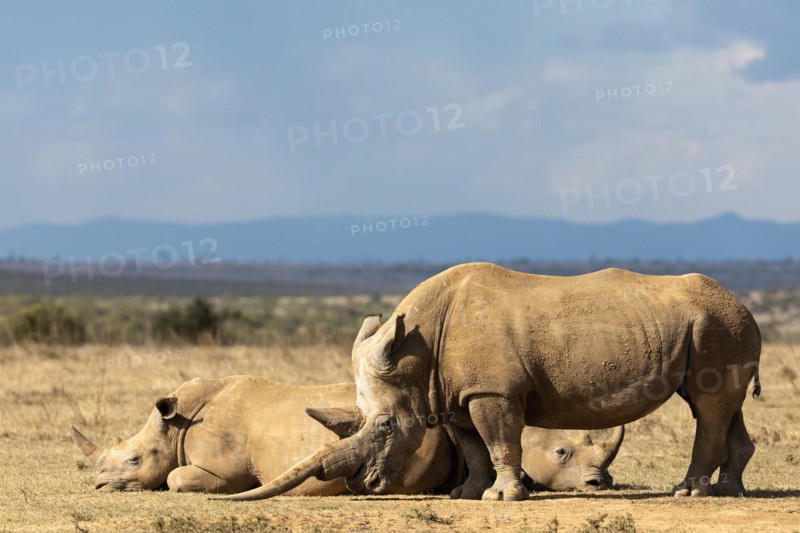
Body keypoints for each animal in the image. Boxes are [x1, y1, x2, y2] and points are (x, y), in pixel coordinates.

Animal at [219, 263, 761, 501]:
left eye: (386, 428)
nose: (361, 486)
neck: (416, 353)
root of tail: (745, 305)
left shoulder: (490, 391)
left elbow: (499, 440)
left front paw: (502, 499)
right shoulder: (453, 393)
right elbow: (473, 445)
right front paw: (467, 495)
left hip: (716, 323)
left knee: (708, 406)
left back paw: (689, 493)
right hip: (718, 325)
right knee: (721, 404)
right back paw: (729, 491)